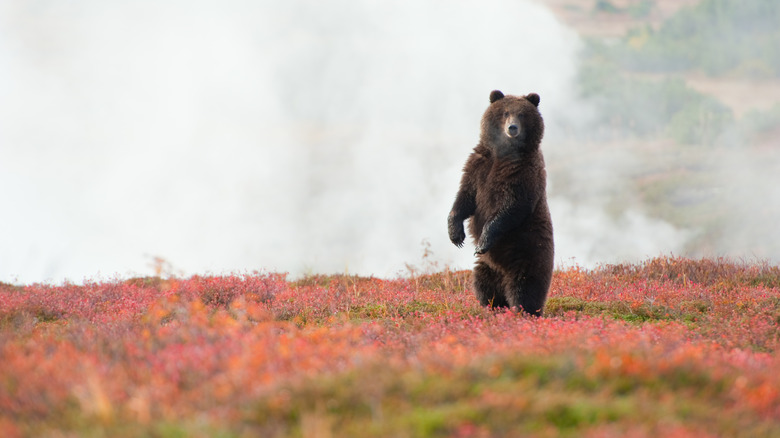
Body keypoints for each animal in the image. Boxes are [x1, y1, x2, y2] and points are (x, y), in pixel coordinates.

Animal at [444, 90, 556, 314]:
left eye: (522, 114)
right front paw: (456, 234)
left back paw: (523, 311)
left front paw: (483, 240)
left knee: (525, 288)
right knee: (484, 287)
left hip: (529, 253)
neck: (503, 153)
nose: (512, 128)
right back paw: (493, 307)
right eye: (505, 112)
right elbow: (465, 197)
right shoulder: (478, 166)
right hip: (486, 267)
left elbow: (511, 207)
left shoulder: (522, 173)